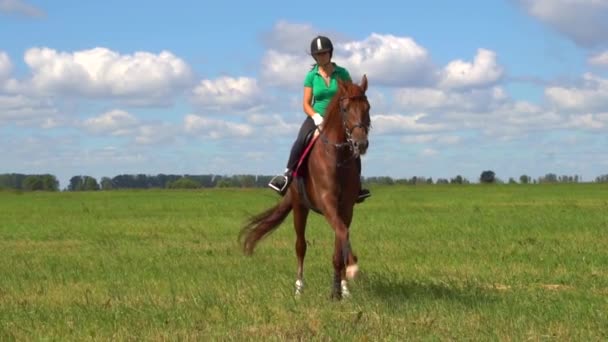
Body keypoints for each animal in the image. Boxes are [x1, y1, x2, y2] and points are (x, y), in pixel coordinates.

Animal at [239, 75, 370, 300]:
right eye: (345, 109)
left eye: (367, 107)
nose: (360, 144)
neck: (337, 158)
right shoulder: (327, 203)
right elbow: (342, 233)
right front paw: (351, 269)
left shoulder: (346, 208)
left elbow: (340, 240)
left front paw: (340, 289)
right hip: (300, 207)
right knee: (300, 246)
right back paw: (298, 288)